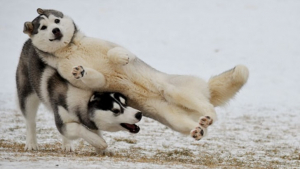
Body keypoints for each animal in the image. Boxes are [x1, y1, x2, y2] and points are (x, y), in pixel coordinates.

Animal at [22, 8, 248, 141]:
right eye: (44, 27)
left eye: (57, 21)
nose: (56, 31)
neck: (71, 48)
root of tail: (207, 89)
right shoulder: (83, 78)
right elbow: (93, 77)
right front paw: (82, 71)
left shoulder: (111, 46)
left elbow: (117, 53)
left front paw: (120, 58)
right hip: (174, 118)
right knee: (200, 123)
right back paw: (200, 128)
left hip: (174, 90)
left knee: (208, 107)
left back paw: (208, 116)